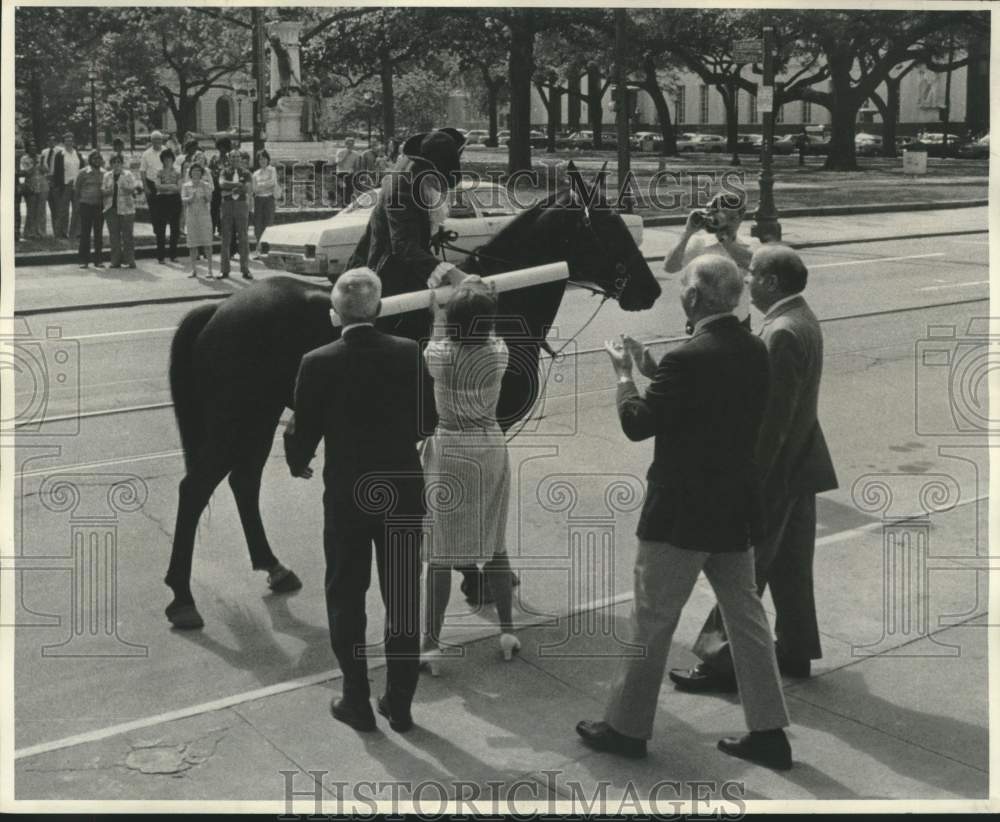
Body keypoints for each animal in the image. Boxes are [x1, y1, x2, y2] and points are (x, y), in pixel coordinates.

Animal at [167, 171, 660, 628]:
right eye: (607, 227)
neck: (499, 310)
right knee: (195, 488)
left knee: (243, 482)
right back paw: (182, 597)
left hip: (258, 416)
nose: (650, 289)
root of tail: (220, 308)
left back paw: (273, 566)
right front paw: (474, 576)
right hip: (235, 417)